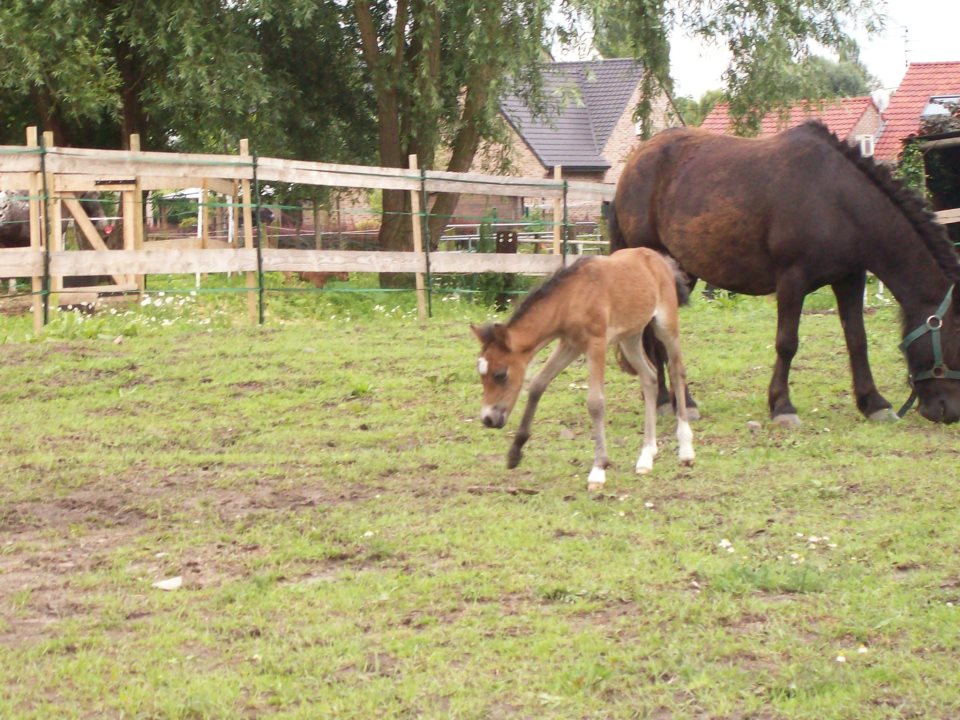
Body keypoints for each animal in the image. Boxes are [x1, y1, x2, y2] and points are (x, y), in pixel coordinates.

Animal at [612, 123, 960, 424]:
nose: (949, 411)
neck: (839, 200)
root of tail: (633, 164)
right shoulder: (793, 278)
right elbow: (787, 342)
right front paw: (782, 406)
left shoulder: (850, 278)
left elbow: (857, 340)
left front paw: (874, 403)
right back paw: (676, 402)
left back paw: (665, 400)